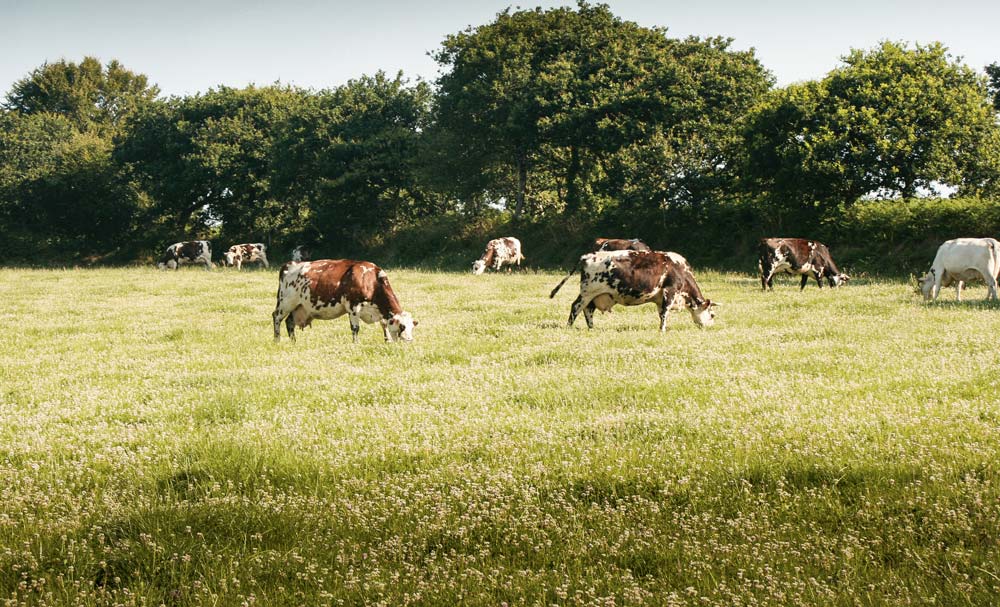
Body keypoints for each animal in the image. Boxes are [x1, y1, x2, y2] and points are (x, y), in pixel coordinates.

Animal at [270, 258, 418, 342]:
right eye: (402, 327)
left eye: (412, 327)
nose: (409, 340)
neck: (370, 279)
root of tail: (289, 264)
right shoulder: (353, 307)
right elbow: (355, 328)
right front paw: (356, 344)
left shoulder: (379, 311)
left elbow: (384, 325)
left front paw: (388, 342)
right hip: (285, 302)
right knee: (276, 317)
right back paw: (277, 340)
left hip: (300, 307)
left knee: (289, 322)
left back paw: (293, 342)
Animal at [548, 249, 720, 330]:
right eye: (712, 315)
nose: (710, 327)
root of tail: (588, 255)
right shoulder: (669, 292)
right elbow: (665, 313)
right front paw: (662, 330)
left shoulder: (660, 298)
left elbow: (661, 313)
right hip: (588, 292)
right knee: (576, 307)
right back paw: (569, 326)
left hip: (595, 295)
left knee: (588, 310)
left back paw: (592, 328)